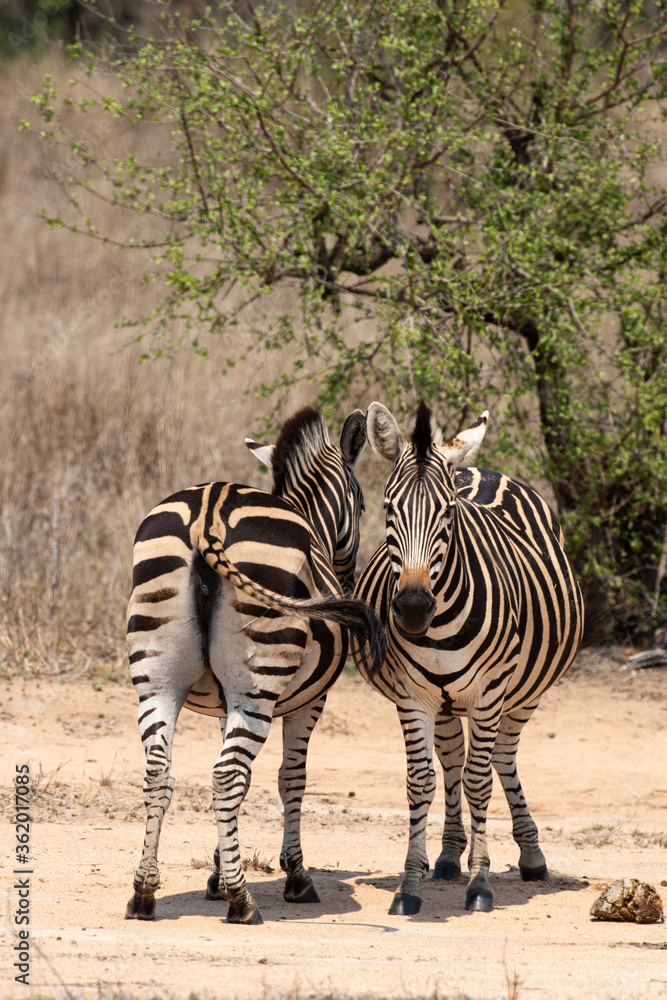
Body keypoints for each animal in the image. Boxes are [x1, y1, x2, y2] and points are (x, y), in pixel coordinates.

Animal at [125, 406, 386, 925]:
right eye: (364, 505)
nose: (347, 576)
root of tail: (209, 513)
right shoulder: (310, 701)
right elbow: (291, 779)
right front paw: (294, 877)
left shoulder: (223, 701)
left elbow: (242, 784)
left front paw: (217, 873)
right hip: (258, 686)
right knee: (226, 775)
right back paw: (243, 903)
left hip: (157, 680)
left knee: (161, 772)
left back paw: (144, 892)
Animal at [353, 400, 585, 915]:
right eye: (388, 508)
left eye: (447, 512)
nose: (413, 608)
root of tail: (474, 468)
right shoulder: (412, 695)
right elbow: (422, 781)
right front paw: (409, 885)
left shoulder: (490, 691)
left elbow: (480, 781)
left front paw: (480, 883)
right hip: (446, 702)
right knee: (453, 760)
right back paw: (446, 855)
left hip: (521, 694)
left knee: (500, 757)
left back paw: (530, 855)